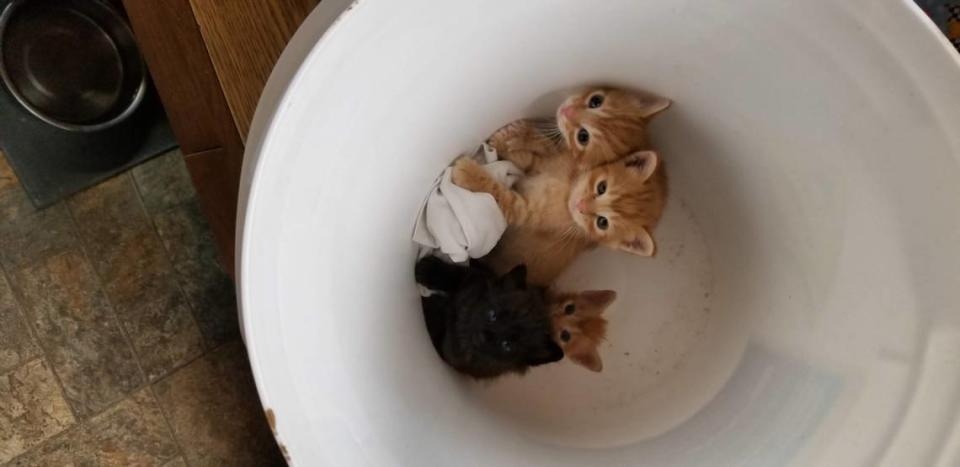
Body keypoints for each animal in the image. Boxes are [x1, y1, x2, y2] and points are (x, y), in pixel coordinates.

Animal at [412, 256, 564, 380]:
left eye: (507, 345)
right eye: (493, 315)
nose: (485, 335)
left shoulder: (451, 353)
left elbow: (437, 320)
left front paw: (431, 304)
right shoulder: (475, 279)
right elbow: (456, 275)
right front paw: (429, 270)